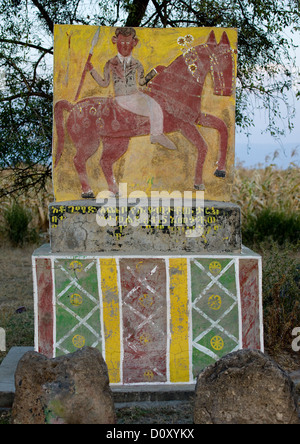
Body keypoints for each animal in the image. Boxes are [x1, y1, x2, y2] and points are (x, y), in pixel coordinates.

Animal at [54, 30, 237, 197]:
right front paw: (199, 183)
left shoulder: (195, 118)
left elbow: (222, 127)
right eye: (224, 59)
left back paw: (115, 192)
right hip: (89, 143)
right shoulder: (184, 125)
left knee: (104, 162)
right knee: (78, 160)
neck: (174, 88)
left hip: (116, 142)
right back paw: (88, 192)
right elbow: (203, 146)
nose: (225, 91)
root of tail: (73, 106)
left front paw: (220, 170)